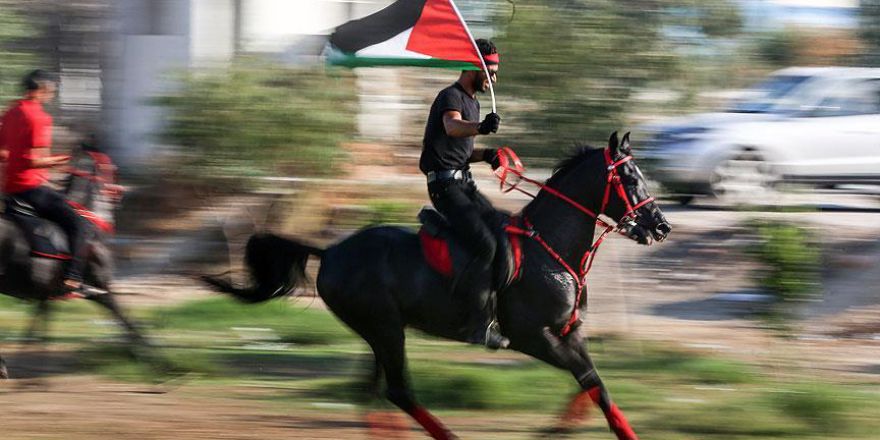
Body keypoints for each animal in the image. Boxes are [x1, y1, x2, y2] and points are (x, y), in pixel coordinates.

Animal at [0, 150, 148, 378]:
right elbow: (125, 318)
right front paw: (154, 360)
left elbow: (39, 323)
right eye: (111, 168)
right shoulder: (102, 288)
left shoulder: (47, 291)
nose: (121, 192)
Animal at [206, 132, 672, 438]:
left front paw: (560, 429)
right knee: (397, 390)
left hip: (380, 332)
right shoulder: (533, 337)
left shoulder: (569, 331)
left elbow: (596, 387)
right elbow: (591, 379)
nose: (660, 227)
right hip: (385, 329)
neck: (549, 247)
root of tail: (332, 250)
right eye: (630, 179)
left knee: (374, 393)